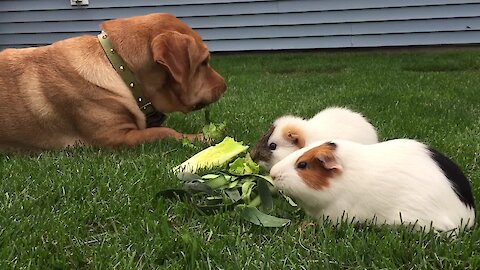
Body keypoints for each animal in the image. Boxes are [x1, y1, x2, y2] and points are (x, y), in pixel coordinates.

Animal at [0, 13, 225, 152]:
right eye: (203, 62)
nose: (224, 85)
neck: (119, 68)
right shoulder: (115, 137)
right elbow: (165, 132)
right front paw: (201, 137)